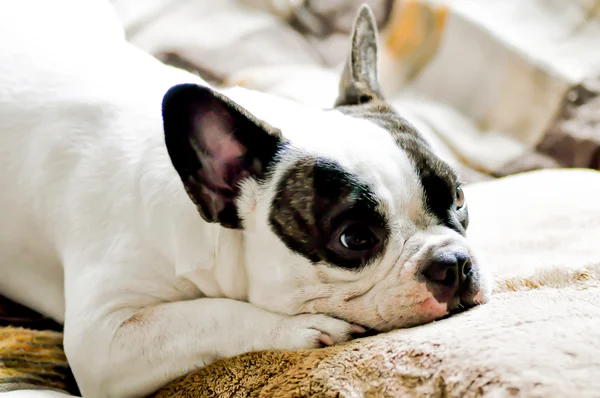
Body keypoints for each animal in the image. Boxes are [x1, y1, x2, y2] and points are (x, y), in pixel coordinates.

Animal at [0, 0, 492, 398]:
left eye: (459, 196)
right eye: (354, 239)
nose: (452, 263)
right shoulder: (102, 339)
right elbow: (207, 314)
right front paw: (298, 328)